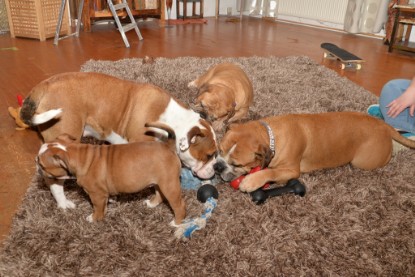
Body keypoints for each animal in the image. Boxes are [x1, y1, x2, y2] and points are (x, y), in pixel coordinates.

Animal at [21, 71, 218, 209]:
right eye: (209, 155)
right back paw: (63, 203)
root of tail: (45, 84)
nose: (216, 168)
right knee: (52, 180)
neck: (171, 118)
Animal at [36, 123, 186, 224]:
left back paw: (176, 223)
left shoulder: (97, 195)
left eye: (42, 165)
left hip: (169, 185)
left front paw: (94, 218)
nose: (36, 165)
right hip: (159, 182)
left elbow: (97, 208)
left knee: (179, 206)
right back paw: (151, 204)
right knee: (160, 194)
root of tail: (168, 146)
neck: (77, 154)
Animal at [216, 111, 415, 191]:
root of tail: (382, 125)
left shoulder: (291, 170)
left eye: (236, 164)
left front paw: (251, 181)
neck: (270, 135)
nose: (218, 166)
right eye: (219, 150)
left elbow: (269, 172)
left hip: (363, 162)